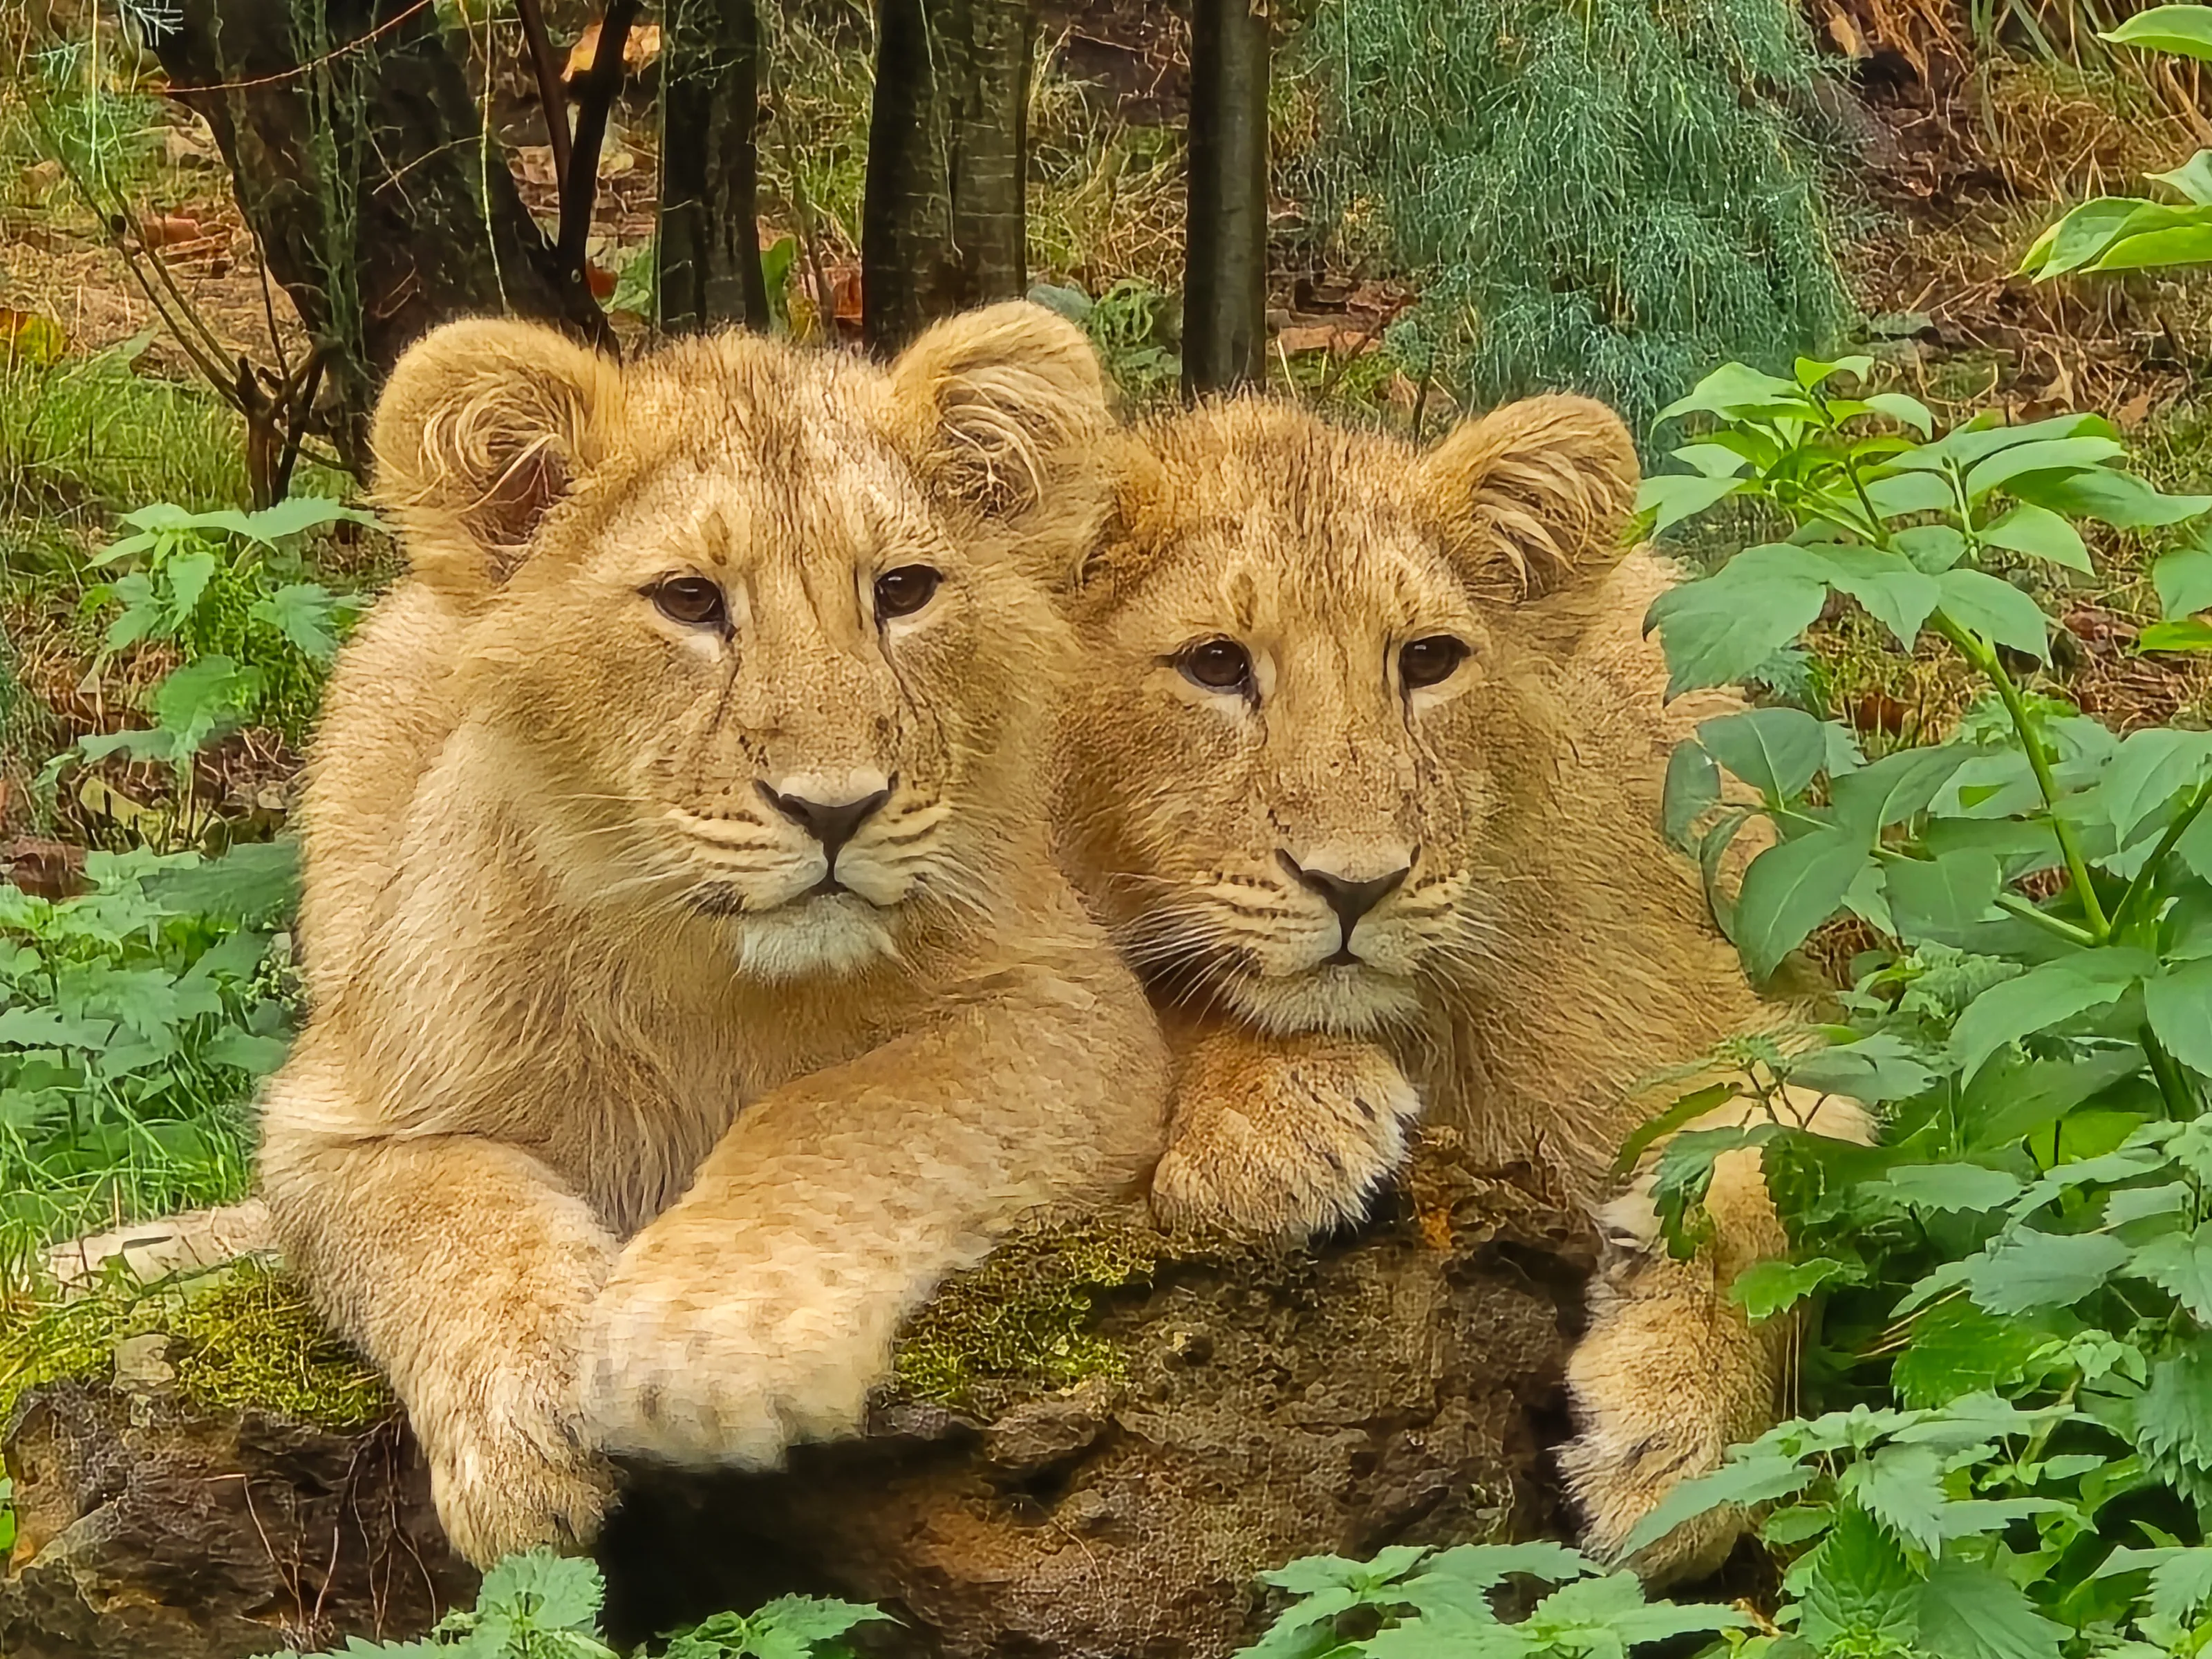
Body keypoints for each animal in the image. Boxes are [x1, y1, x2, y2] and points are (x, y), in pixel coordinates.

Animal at [257, 302, 1170, 1567]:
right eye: (689, 601)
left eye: (905, 590)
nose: (835, 809)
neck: (707, 979)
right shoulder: (333, 1115)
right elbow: (448, 1214)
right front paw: (523, 1435)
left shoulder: (1076, 1007)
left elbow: (848, 1112)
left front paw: (704, 1342)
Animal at [1053, 394, 1868, 1582]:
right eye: (1213, 664)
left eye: (1429, 660)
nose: (1357, 883)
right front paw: (1272, 1120)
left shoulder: (1747, 1032)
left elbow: (1781, 1180)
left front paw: (1676, 1448)